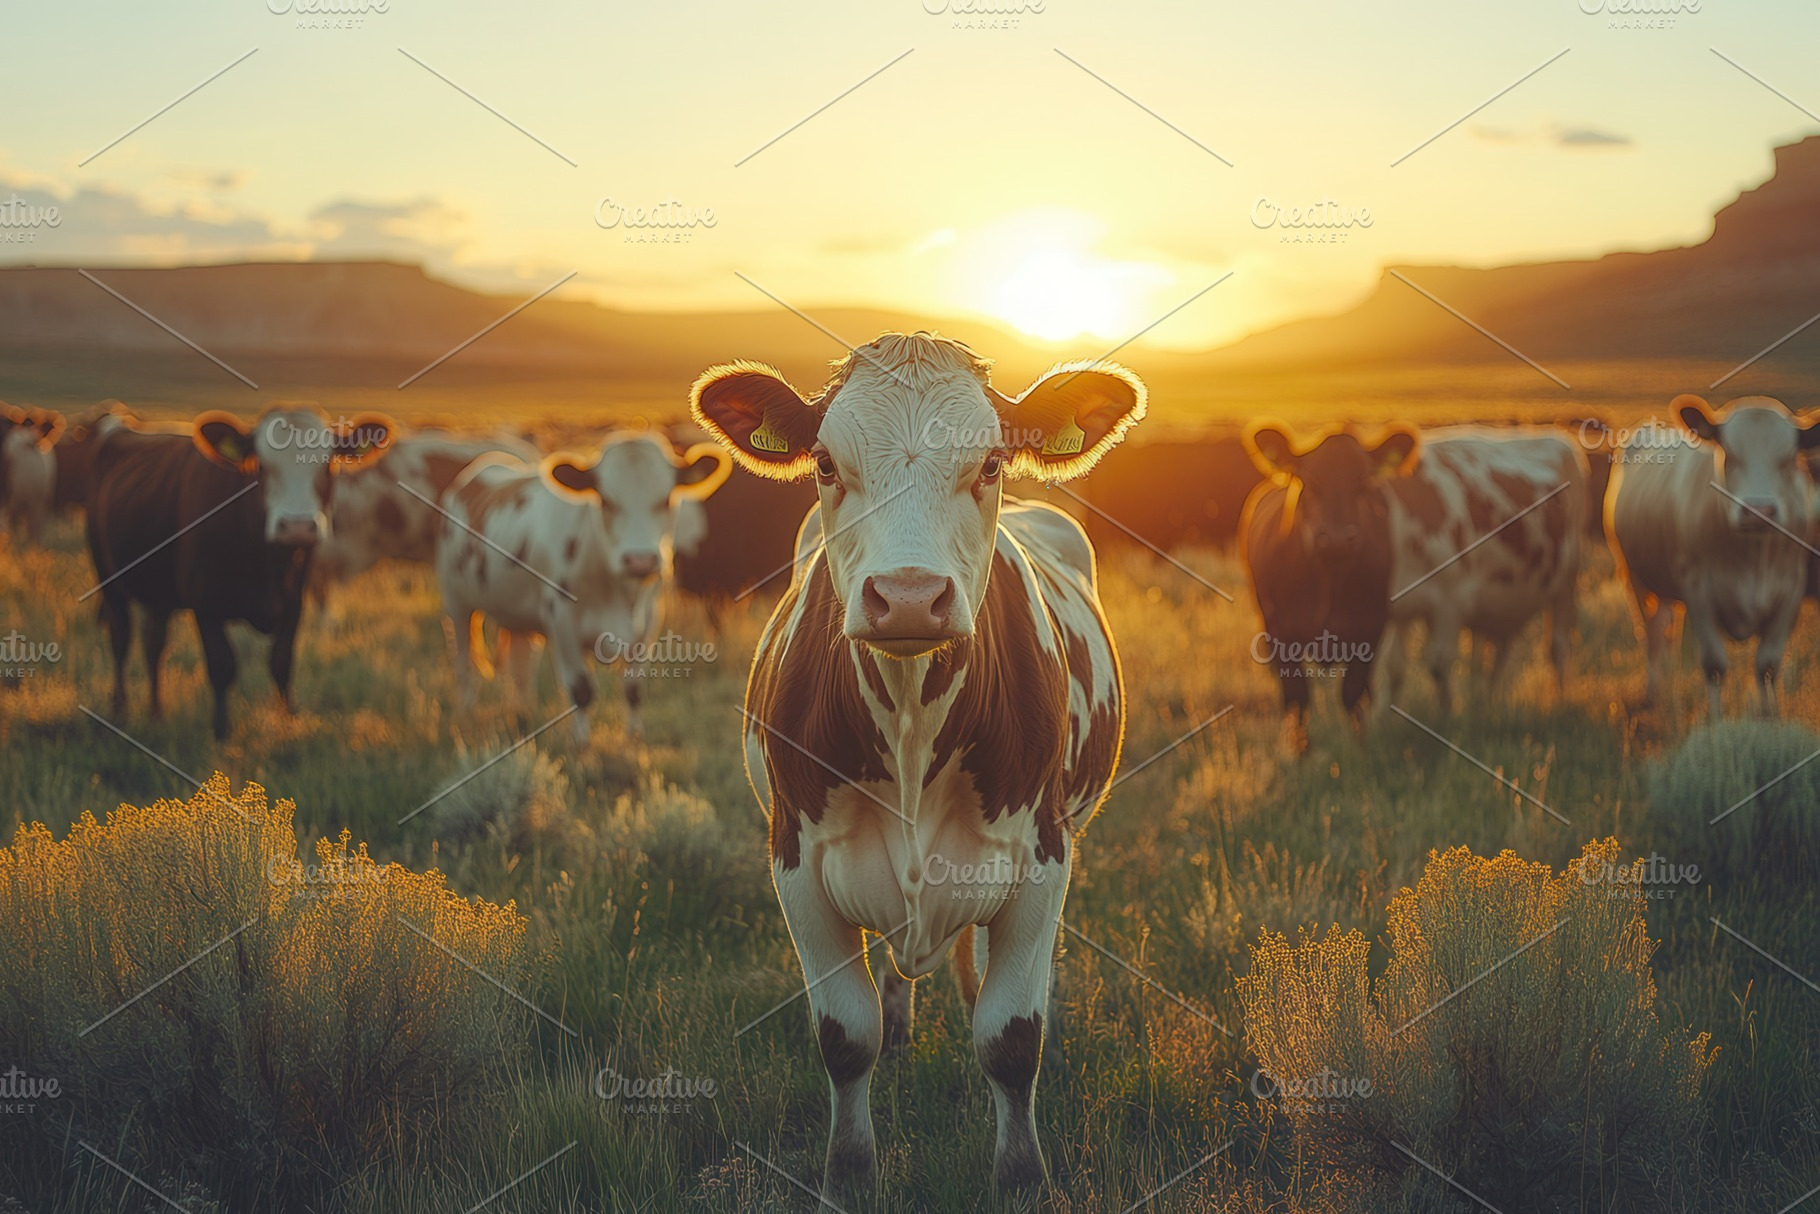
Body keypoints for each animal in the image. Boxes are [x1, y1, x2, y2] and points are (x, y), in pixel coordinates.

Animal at [87, 406, 393, 738]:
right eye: (261, 466)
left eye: (328, 465)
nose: (297, 526)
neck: (268, 565)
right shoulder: (204, 604)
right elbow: (222, 665)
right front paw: (222, 733)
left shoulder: (293, 603)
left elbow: (282, 664)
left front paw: (286, 722)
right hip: (109, 579)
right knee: (121, 640)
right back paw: (119, 711)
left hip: (159, 595)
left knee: (154, 646)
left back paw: (157, 714)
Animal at [434, 432, 730, 739]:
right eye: (606, 501)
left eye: (666, 499)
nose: (640, 560)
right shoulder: (562, 623)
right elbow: (581, 690)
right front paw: (582, 743)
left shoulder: (647, 624)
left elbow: (633, 688)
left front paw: (634, 737)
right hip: (457, 604)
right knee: (464, 663)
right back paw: (466, 714)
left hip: (517, 616)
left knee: (521, 667)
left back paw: (522, 716)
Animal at [690, 332, 1142, 1196]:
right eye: (825, 463)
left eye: (991, 463)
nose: (906, 597)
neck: (908, 723)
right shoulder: (796, 864)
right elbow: (846, 1037)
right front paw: (849, 1176)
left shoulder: (1043, 861)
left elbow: (1011, 1037)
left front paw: (1021, 1178)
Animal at [1608, 394, 1820, 717]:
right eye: (1728, 453)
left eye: (1788, 458)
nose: (1759, 511)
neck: (1752, 557)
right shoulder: (1698, 591)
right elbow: (1715, 666)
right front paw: (1716, 722)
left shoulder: (1790, 591)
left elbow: (1767, 666)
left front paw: (1770, 718)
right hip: (1634, 576)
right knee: (1652, 635)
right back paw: (1653, 693)